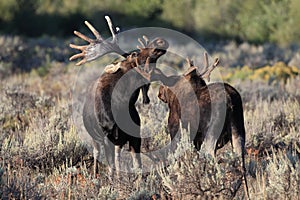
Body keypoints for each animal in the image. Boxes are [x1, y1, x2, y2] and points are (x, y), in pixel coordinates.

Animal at [69, 16, 170, 177]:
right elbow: (111, 167)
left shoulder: (135, 135)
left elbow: (137, 165)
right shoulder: (107, 138)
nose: (159, 41)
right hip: (96, 138)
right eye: (136, 55)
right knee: (97, 155)